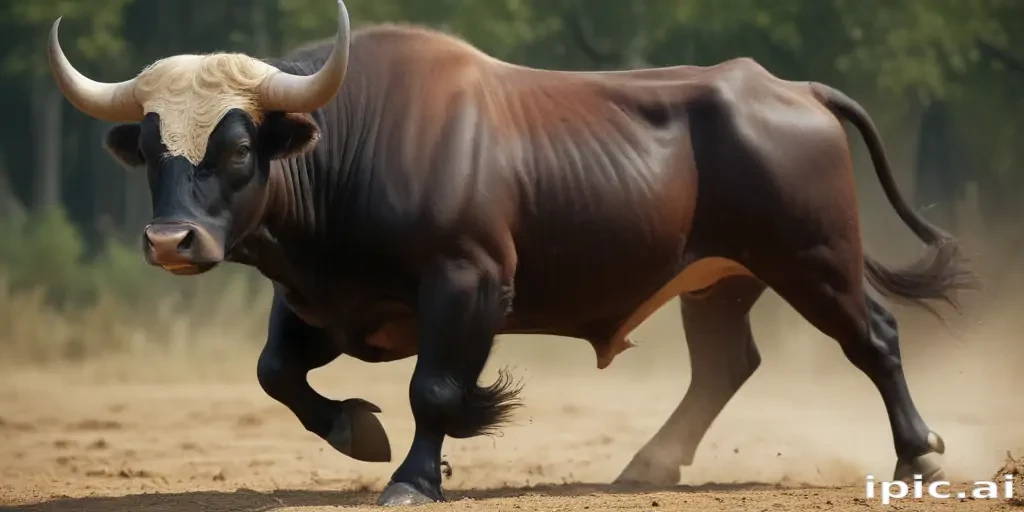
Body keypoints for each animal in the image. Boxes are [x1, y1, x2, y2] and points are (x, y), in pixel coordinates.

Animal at [47, 0, 978, 506]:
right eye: (153, 151)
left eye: (239, 148)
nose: (172, 242)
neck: (354, 148)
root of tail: (787, 88)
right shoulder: (315, 303)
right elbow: (275, 373)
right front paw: (357, 431)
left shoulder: (468, 285)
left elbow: (435, 389)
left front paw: (415, 477)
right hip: (719, 280)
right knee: (726, 364)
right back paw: (649, 464)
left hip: (814, 258)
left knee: (875, 337)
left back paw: (919, 455)